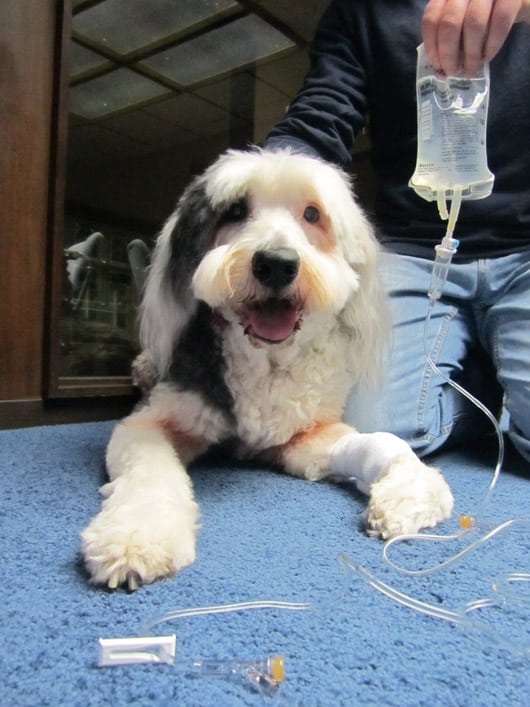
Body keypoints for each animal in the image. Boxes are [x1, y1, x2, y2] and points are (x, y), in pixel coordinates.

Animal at [80, 149, 452, 592]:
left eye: (312, 214)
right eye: (236, 211)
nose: (276, 263)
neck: (267, 362)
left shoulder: (303, 436)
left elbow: (382, 443)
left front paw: (410, 494)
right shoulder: (153, 420)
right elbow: (148, 470)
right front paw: (135, 538)